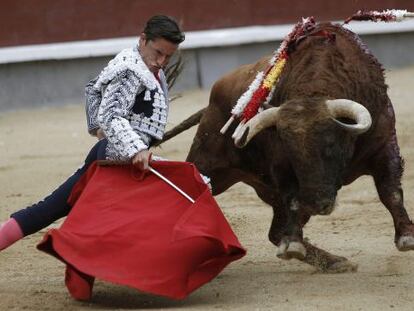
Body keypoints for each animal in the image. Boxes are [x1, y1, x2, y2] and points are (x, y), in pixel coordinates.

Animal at [156, 22, 414, 272]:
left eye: (331, 145)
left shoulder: (384, 145)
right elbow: (293, 199)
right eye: (291, 152)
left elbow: (390, 191)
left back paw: (332, 261)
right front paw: (294, 244)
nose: (316, 203)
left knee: (276, 231)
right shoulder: (282, 166)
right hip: (208, 166)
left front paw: (407, 237)